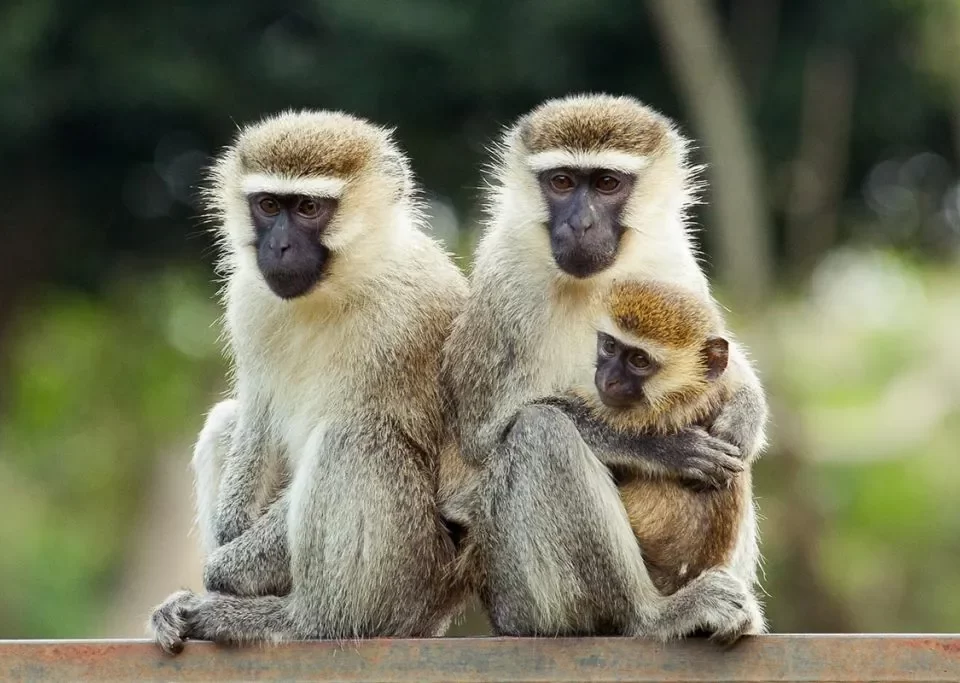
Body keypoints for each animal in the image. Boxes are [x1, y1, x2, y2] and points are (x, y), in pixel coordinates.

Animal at [149, 110, 470, 654]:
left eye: (308, 208)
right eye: (268, 205)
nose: (278, 246)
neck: (337, 289)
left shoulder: (406, 321)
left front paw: (225, 569)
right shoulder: (248, 300)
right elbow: (256, 416)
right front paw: (227, 541)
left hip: (411, 580)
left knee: (354, 438)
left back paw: (301, 621)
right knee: (228, 420)